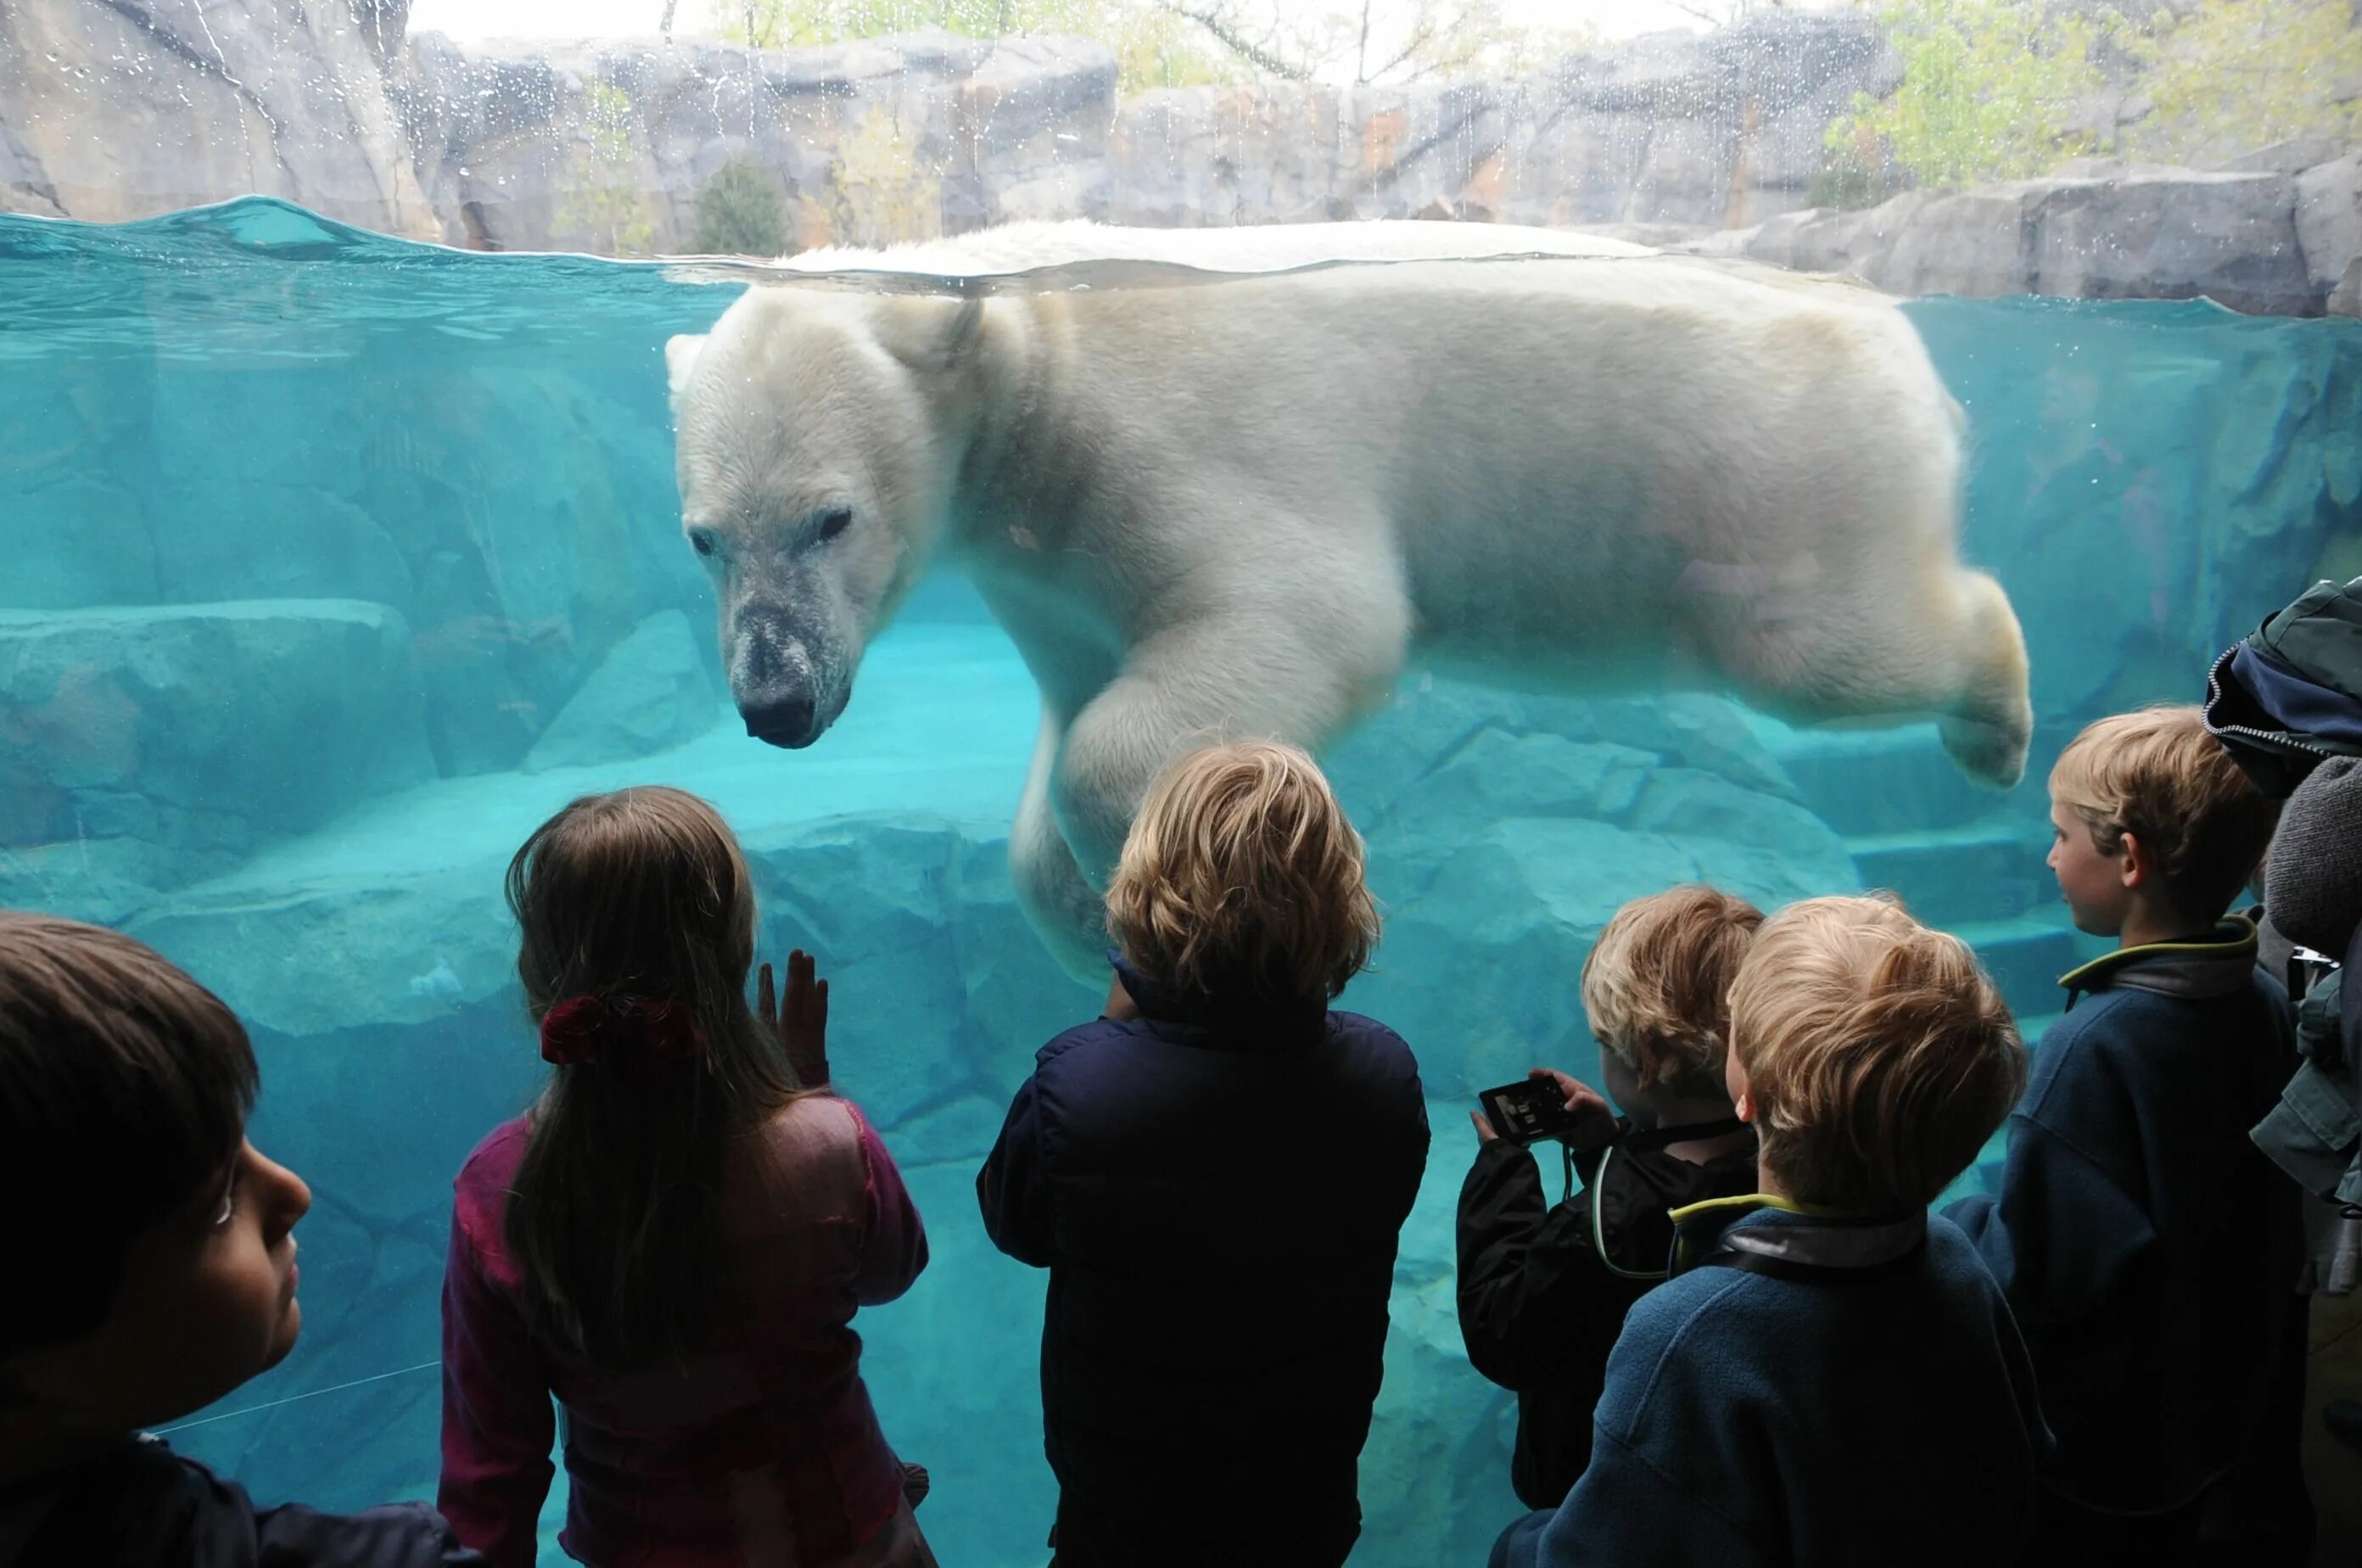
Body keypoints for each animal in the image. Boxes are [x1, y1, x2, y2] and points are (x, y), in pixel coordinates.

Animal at [666, 221, 2031, 982]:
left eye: (831, 518)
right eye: (705, 538)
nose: (776, 700)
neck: (1031, 345)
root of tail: (1905, 352)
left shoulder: (1171, 437)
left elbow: (1297, 624)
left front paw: (1136, 881)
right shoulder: (1034, 550)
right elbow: (1076, 696)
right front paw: (1077, 906)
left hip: (1777, 469)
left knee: (1825, 646)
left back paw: (1999, 716)